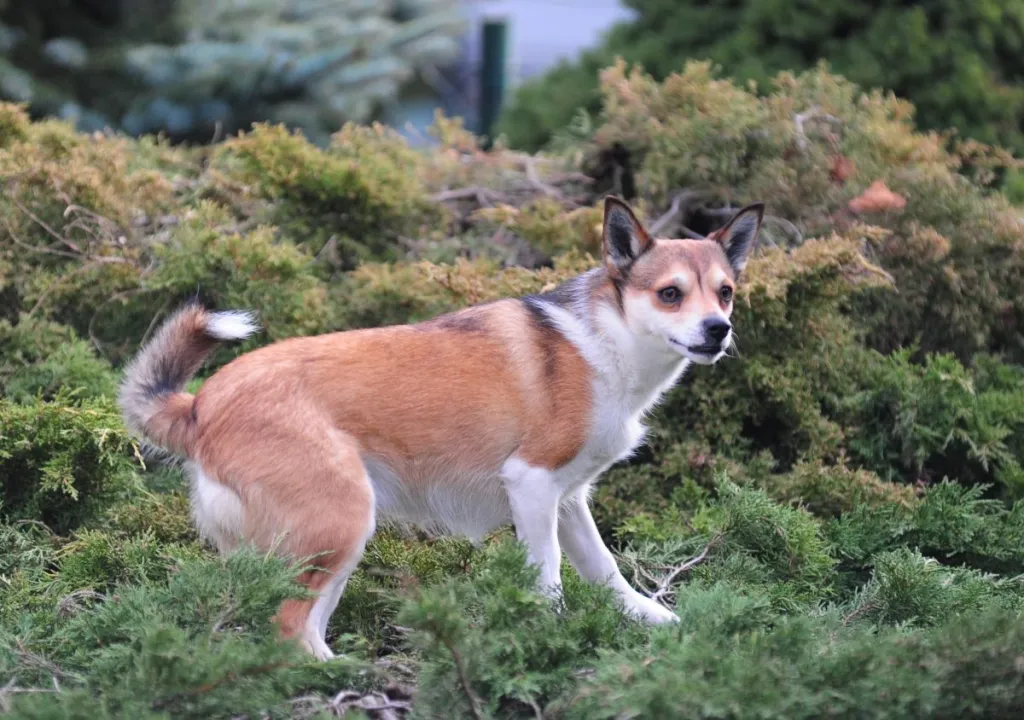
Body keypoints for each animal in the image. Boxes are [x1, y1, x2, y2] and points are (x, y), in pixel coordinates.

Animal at [117, 195, 761, 659]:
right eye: (671, 293)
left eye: (725, 293)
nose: (717, 330)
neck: (607, 337)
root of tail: (200, 406)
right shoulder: (531, 485)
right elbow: (550, 577)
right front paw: (550, 638)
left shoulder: (569, 500)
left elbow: (606, 571)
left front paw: (653, 619)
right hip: (339, 524)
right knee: (287, 628)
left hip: (331, 543)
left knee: (299, 626)